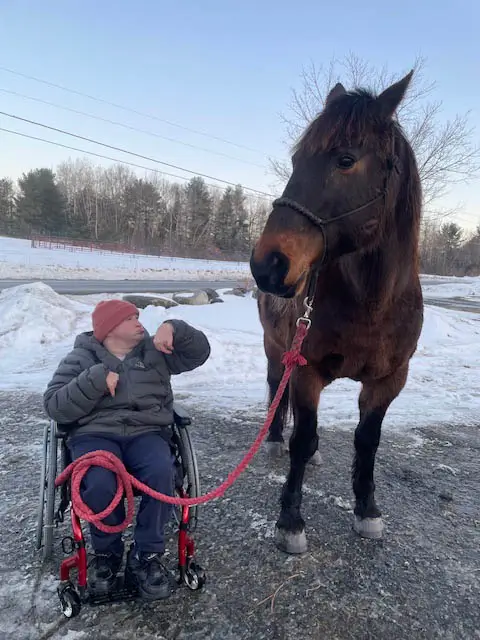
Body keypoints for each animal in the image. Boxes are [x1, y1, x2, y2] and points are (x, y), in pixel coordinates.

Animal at [251, 69, 424, 552]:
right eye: (295, 161)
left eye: (346, 160)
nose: (268, 264)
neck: (371, 305)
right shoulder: (305, 369)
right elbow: (302, 434)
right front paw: (290, 520)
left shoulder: (389, 380)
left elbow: (368, 440)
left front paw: (367, 510)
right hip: (275, 349)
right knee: (275, 390)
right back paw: (275, 440)